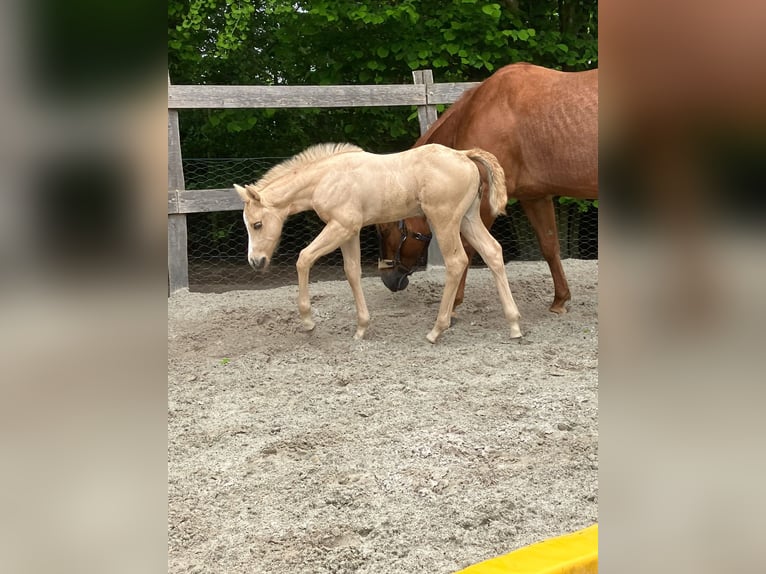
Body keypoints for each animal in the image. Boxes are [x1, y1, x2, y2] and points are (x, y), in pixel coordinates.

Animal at [234, 142, 522, 343]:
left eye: (257, 224)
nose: (255, 261)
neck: (326, 178)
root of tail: (464, 155)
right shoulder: (349, 232)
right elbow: (352, 272)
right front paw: (361, 328)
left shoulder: (341, 226)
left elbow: (304, 258)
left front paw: (307, 321)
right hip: (468, 218)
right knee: (493, 252)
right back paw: (514, 324)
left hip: (444, 220)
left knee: (456, 261)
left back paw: (436, 330)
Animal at [377, 63, 598, 314]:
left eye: (385, 228)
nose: (388, 278)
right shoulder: (535, 197)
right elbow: (549, 245)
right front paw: (560, 299)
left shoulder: (483, 203)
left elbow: (467, 248)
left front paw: (453, 304)